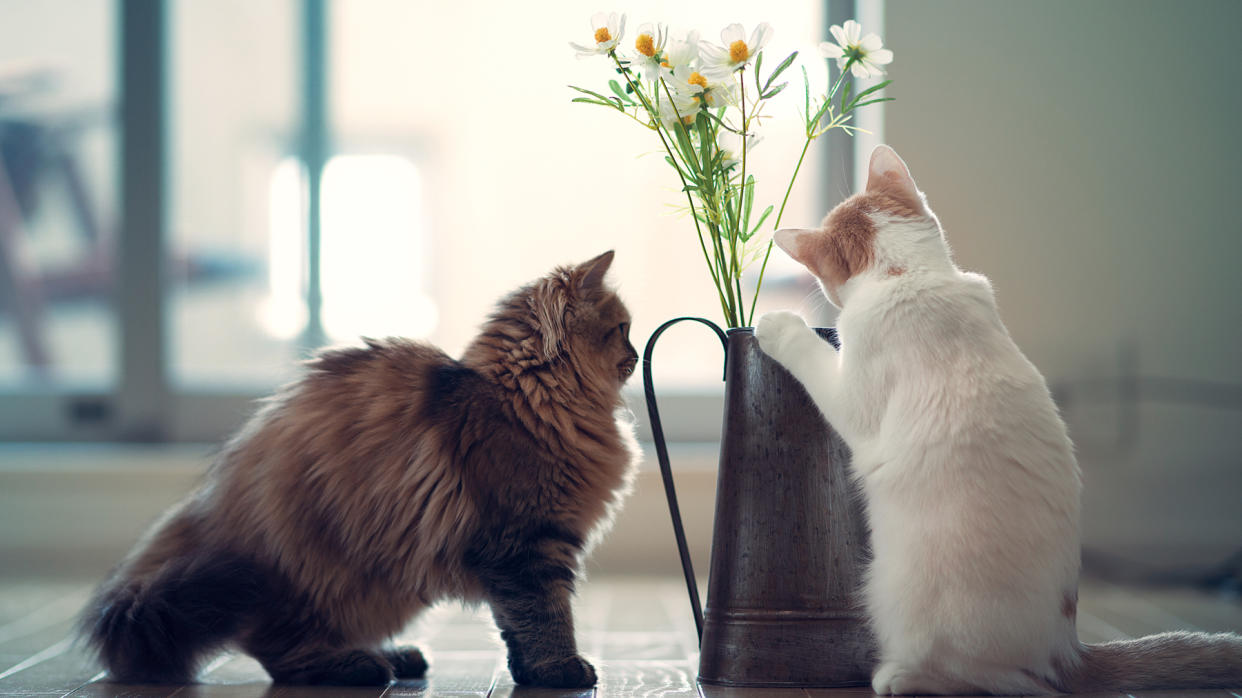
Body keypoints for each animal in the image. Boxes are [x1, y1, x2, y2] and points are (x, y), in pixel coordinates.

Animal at [82, 249, 640, 685]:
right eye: (623, 330)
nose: (638, 355)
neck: (529, 401)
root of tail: (210, 513)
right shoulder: (524, 544)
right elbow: (544, 616)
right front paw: (561, 671)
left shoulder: (527, 548)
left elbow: (517, 627)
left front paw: (530, 673)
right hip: (311, 573)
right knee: (276, 653)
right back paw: (359, 666)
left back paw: (394, 656)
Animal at [755, 144, 1242, 690]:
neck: (909, 275)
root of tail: (1066, 649)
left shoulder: (852, 400)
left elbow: (811, 353)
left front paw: (778, 326)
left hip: (893, 593)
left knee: (988, 679)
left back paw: (898, 676)